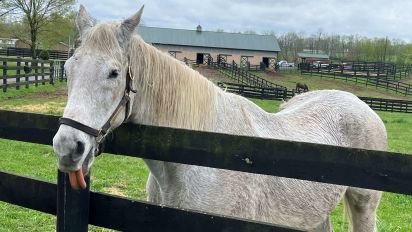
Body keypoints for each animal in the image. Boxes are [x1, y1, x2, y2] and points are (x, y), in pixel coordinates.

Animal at [52, 5, 386, 232]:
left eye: (114, 73)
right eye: (67, 69)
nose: (68, 148)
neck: (195, 161)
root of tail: (358, 102)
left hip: (363, 204)